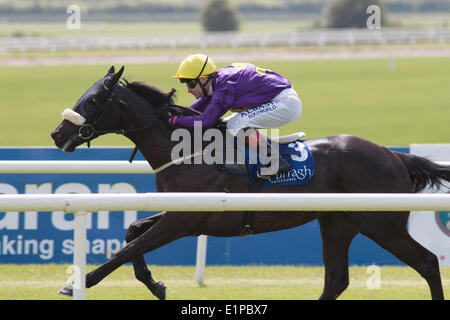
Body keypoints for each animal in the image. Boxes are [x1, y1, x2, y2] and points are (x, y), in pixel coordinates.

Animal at [51, 66, 448, 298]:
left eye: (93, 101)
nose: (58, 134)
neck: (187, 149)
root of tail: (394, 155)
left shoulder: (184, 221)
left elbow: (125, 249)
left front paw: (77, 283)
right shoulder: (180, 212)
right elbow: (133, 232)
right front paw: (156, 283)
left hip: (381, 224)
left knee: (428, 262)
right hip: (338, 222)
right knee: (337, 279)